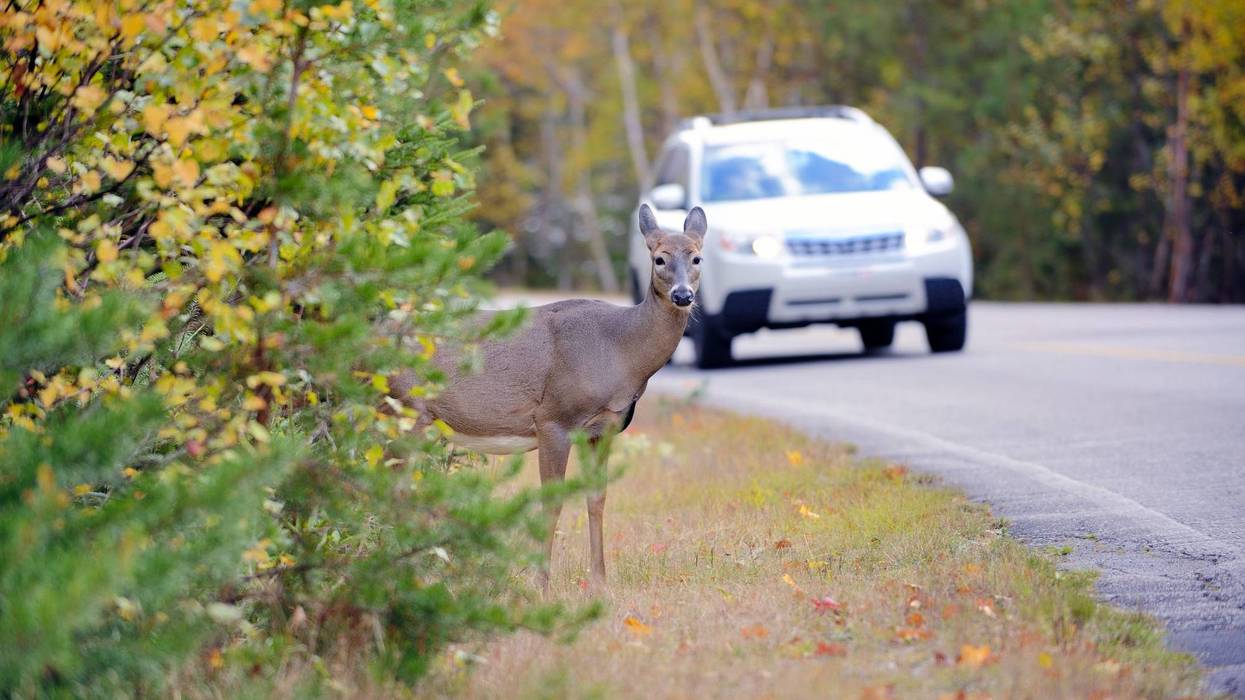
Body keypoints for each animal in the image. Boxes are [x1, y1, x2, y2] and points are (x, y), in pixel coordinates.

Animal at [393, 204, 706, 590]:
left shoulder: (603, 428)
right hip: (406, 408)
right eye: (659, 258)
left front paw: (599, 582)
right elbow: (551, 503)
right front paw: (541, 585)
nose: (682, 295)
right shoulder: (554, 418)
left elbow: (597, 498)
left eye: (697, 257)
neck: (620, 349)